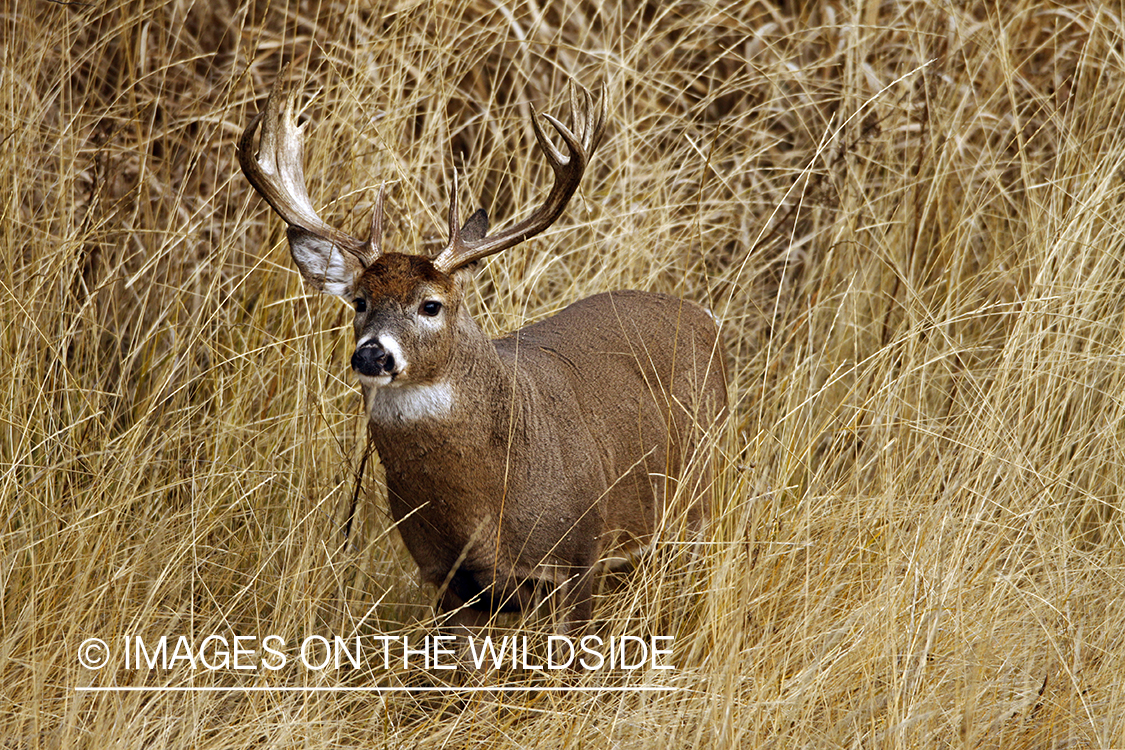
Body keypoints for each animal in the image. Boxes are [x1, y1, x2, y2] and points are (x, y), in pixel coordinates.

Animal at [239, 73, 729, 634]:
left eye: (431, 304)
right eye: (359, 302)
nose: (372, 355)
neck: (481, 506)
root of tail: (703, 315)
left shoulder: (578, 558)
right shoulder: (447, 579)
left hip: (698, 500)